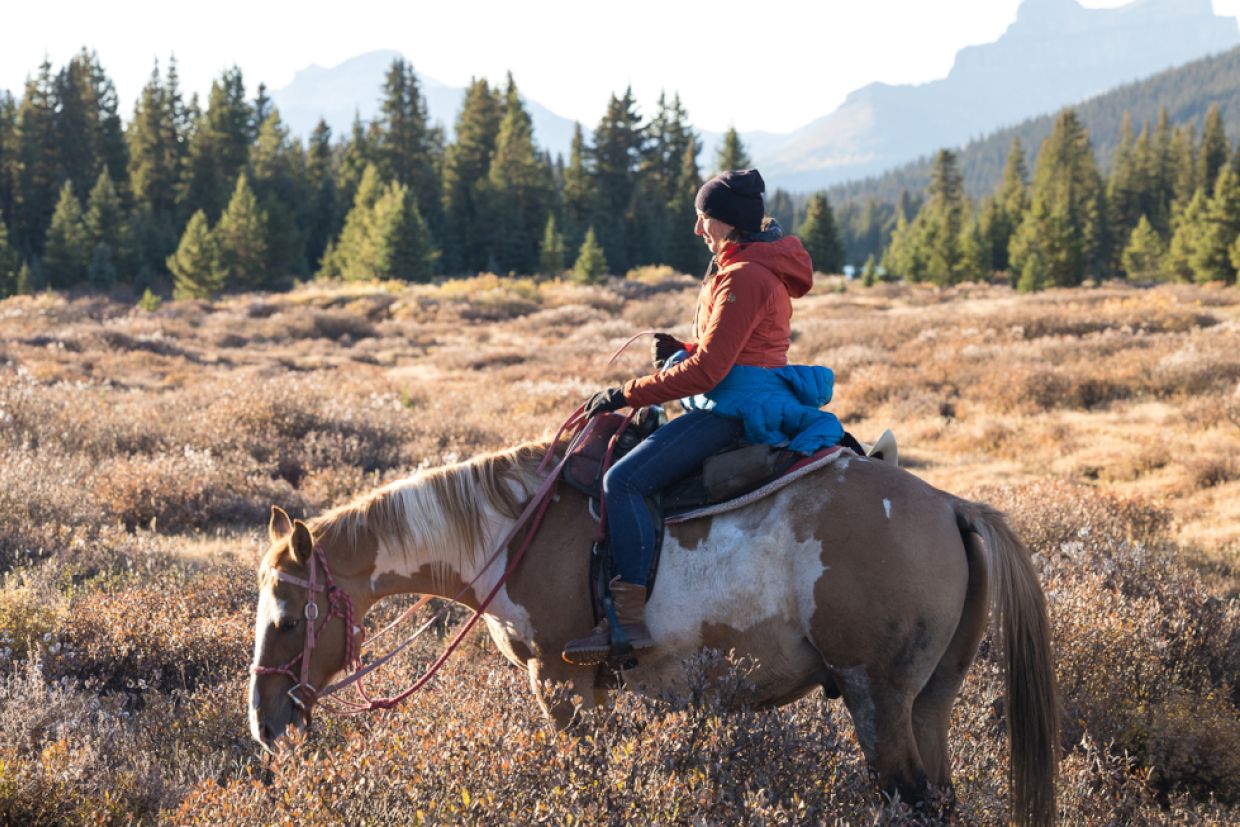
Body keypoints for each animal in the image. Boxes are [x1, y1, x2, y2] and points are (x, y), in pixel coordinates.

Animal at [249, 440, 1058, 826]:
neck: (514, 532)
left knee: (911, 800)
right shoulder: (596, 687)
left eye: (286, 620)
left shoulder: (559, 679)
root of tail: (952, 504)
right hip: (929, 702)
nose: (264, 722)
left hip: (877, 699)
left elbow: (583, 773)